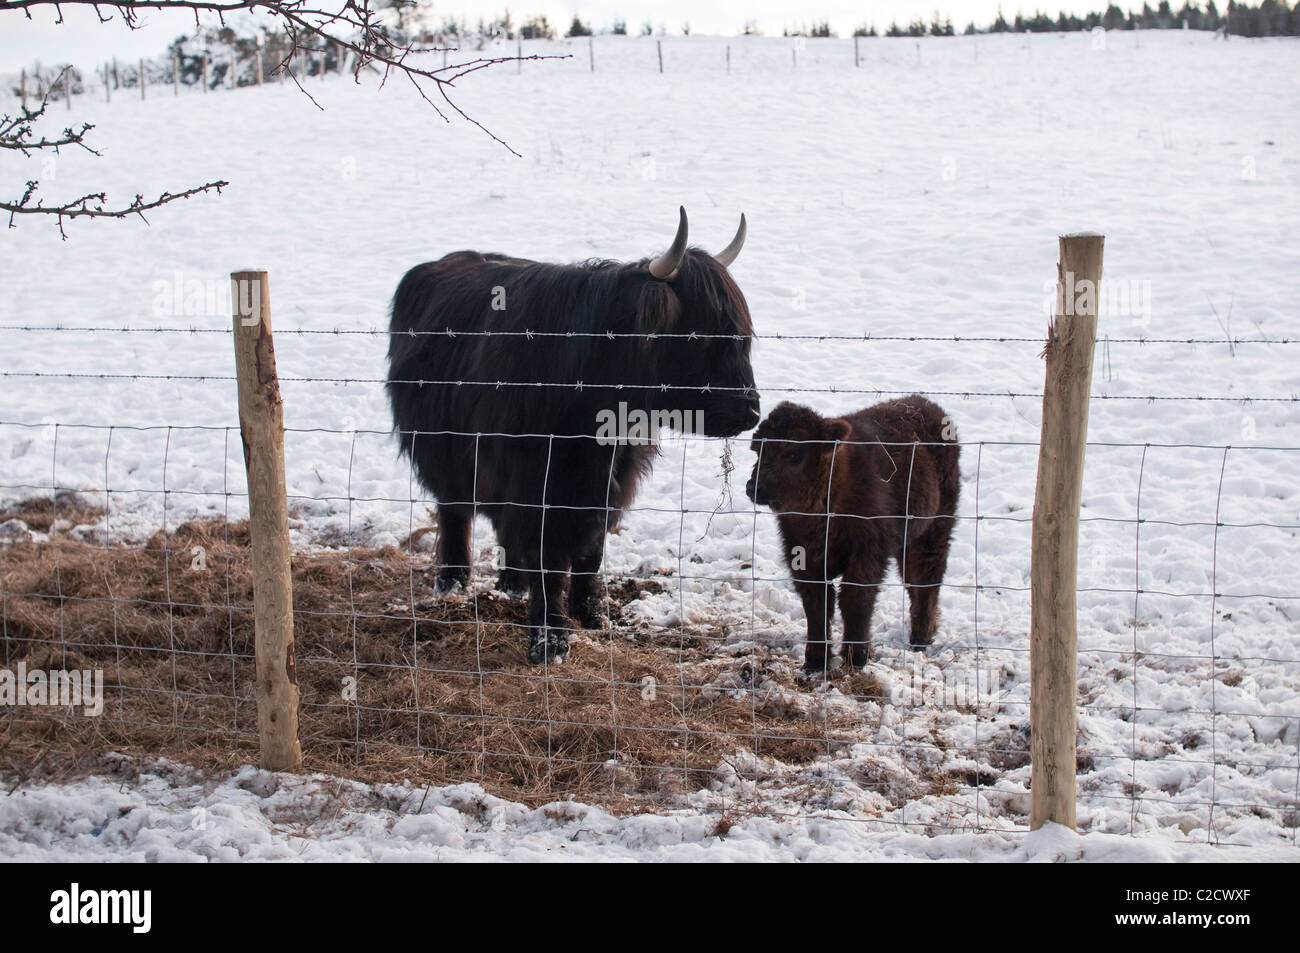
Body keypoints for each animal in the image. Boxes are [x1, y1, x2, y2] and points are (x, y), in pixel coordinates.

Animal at [388, 208, 760, 664]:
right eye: (700, 334)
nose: (752, 411)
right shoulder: (535, 479)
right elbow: (548, 556)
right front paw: (550, 638)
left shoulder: (610, 480)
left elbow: (590, 550)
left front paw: (592, 614)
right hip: (444, 452)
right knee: (455, 511)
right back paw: (453, 582)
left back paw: (512, 584)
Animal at [744, 397, 960, 674]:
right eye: (758, 450)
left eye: (794, 454)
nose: (754, 487)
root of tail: (924, 403)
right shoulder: (802, 555)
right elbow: (817, 603)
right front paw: (815, 660)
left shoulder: (867, 553)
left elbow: (855, 600)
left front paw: (855, 657)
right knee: (914, 579)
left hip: (935, 529)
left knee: (926, 578)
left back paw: (921, 637)